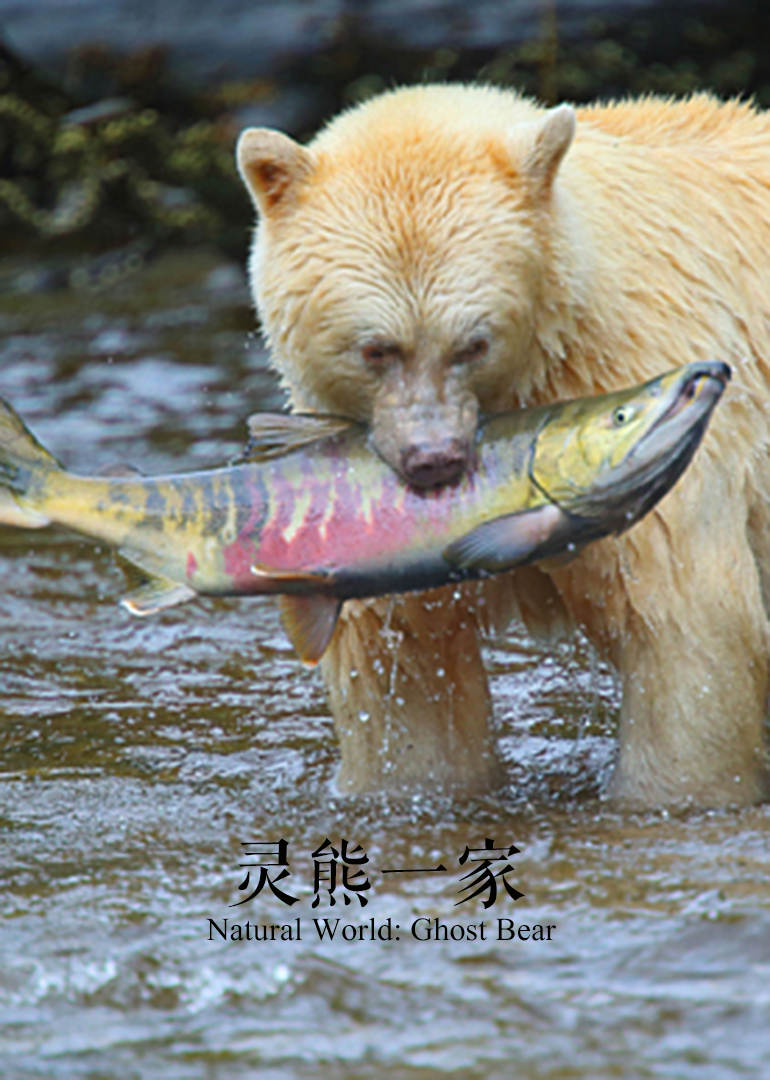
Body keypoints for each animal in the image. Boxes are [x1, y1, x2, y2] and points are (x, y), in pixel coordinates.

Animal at [236, 84, 770, 809]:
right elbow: (406, 670)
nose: (433, 460)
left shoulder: (641, 399)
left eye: (473, 343)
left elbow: (688, 634)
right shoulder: (363, 512)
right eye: (376, 349)